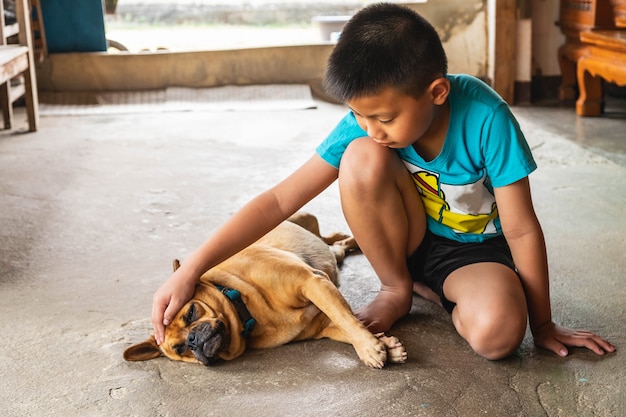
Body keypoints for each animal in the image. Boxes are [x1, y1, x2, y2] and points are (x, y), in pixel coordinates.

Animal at [124, 211, 408, 368]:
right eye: (181, 349)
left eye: (191, 312)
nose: (193, 340)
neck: (246, 309)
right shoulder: (324, 323)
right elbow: (347, 325)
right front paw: (380, 345)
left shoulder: (312, 282)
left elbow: (346, 318)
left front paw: (369, 348)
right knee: (335, 247)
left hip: (304, 219)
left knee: (328, 237)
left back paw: (351, 239)